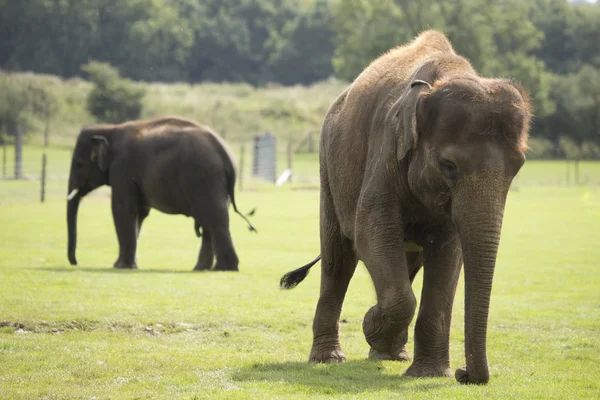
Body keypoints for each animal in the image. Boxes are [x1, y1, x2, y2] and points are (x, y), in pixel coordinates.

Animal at [67, 115, 255, 272]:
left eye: (78, 164)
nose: (75, 262)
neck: (111, 129)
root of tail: (226, 155)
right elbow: (140, 213)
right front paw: (130, 265)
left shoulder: (121, 168)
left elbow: (123, 209)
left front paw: (120, 267)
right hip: (214, 183)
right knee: (211, 221)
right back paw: (203, 269)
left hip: (204, 177)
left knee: (215, 219)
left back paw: (224, 269)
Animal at [278, 30, 532, 384]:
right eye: (448, 165)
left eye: (518, 166)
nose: (464, 373)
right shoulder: (386, 149)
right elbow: (370, 231)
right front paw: (371, 323)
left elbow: (448, 251)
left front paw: (428, 374)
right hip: (328, 168)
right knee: (338, 257)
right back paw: (330, 358)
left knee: (407, 262)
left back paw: (391, 354)